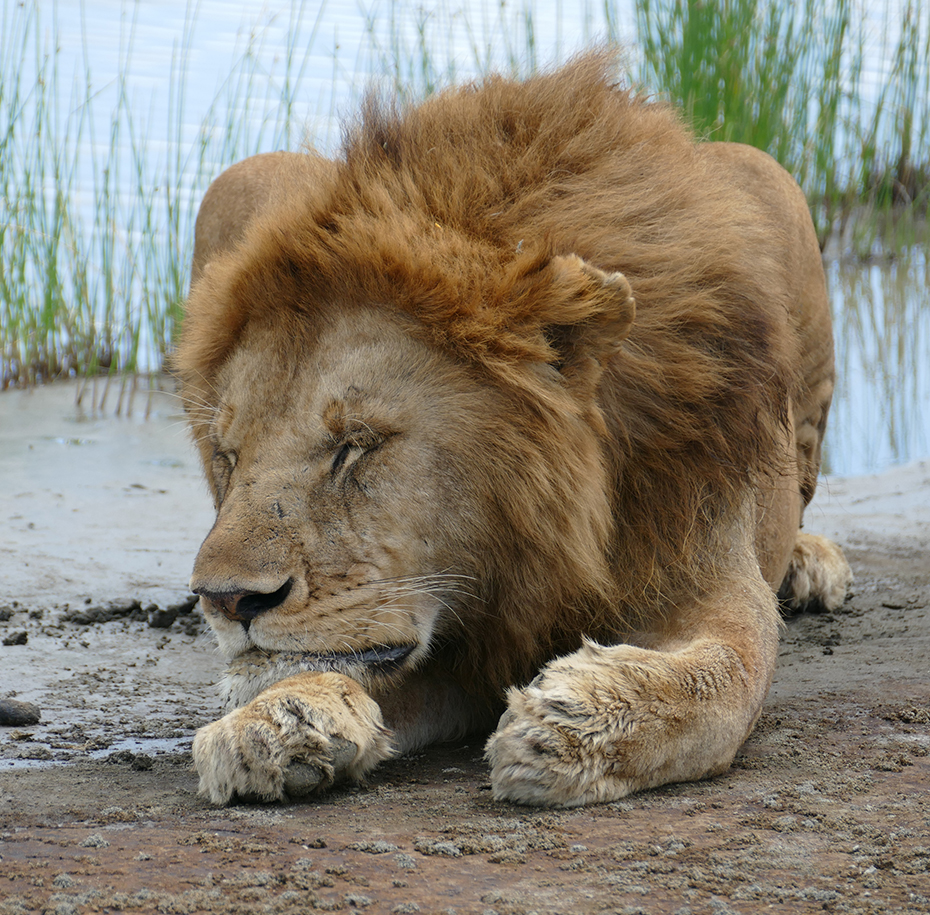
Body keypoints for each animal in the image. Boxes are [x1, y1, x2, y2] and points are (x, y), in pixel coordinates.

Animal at [174, 53, 848, 804]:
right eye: (229, 456)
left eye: (357, 446)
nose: (226, 600)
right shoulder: (458, 632)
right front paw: (279, 718)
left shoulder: (707, 567)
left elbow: (723, 672)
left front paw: (575, 721)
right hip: (241, 177)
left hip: (776, 189)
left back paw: (809, 563)